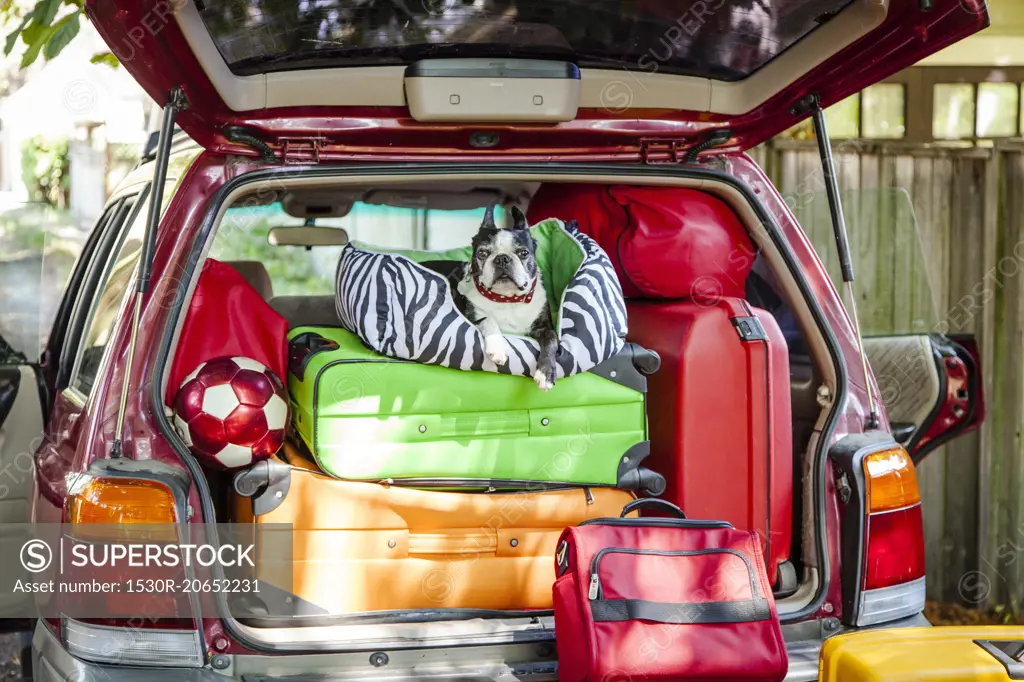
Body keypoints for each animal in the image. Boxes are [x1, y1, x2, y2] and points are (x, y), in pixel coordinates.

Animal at [444, 204, 557, 387]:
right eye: (482, 253)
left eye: (523, 253)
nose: (502, 258)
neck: (508, 299)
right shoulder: (470, 317)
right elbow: (489, 319)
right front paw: (497, 348)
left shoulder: (544, 328)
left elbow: (552, 338)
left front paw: (546, 373)